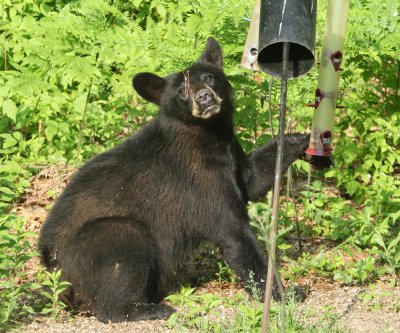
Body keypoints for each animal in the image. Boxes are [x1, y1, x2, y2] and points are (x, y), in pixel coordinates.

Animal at [39, 37, 310, 322]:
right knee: (121, 252)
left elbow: (252, 177)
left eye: (210, 78)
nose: (204, 98)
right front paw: (285, 294)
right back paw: (149, 309)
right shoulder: (198, 180)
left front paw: (300, 138)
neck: (208, 134)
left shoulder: (229, 155)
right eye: (183, 91)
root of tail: (52, 272)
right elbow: (233, 231)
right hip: (92, 248)